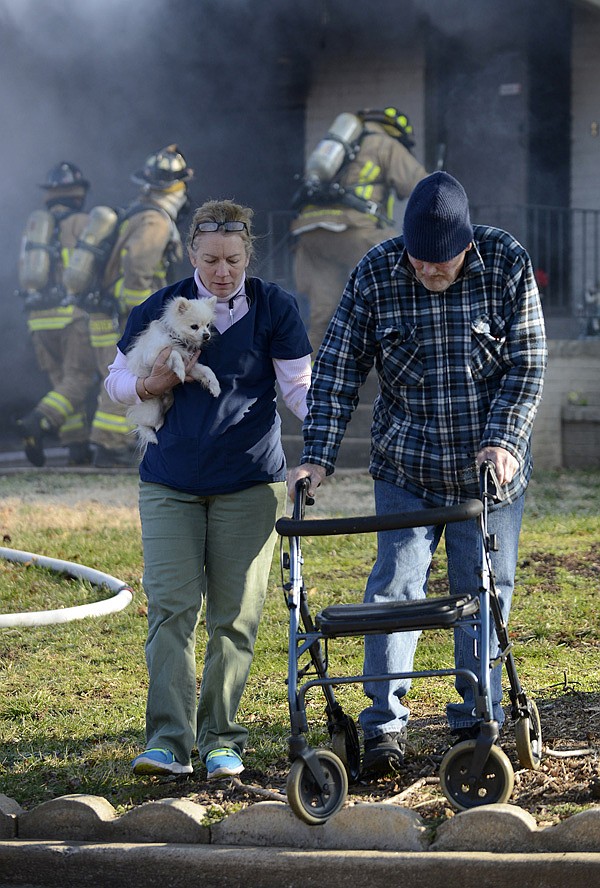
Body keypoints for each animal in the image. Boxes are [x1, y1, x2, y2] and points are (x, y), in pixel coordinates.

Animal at [126, 296, 220, 450]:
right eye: (194, 326)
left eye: (208, 325)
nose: (207, 335)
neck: (177, 338)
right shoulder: (154, 355)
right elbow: (174, 353)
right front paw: (180, 371)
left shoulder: (191, 366)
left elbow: (207, 370)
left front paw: (214, 386)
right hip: (152, 408)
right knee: (141, 423)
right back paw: (151, 436)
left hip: (168, 401)